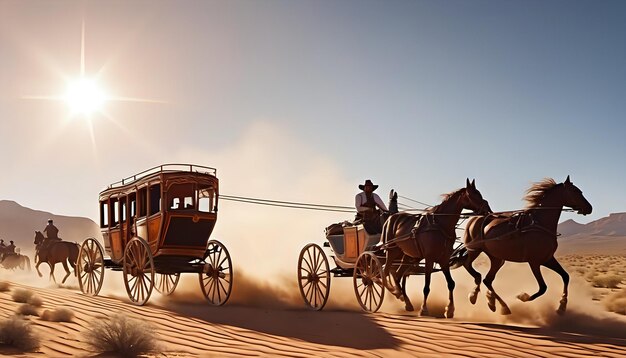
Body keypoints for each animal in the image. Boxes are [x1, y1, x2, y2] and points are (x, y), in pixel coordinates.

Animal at [378, 178, 490, 316]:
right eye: (474, 194)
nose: (488, 209)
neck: (440, 224)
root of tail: (390, 218)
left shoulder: (444, 259)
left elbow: (451, 283)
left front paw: (450, 310)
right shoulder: (429, 259)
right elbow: (426, 286)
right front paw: (424, 309)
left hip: (408, 256)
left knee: (397, 275)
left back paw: (405, 300)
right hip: (392, 251)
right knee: (385, 272)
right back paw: (394, 294)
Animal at [460, 175, 592, 314]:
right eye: (576, 191)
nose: (589, 208)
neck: (539, 223)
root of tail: (474, 219)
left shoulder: (547, 259)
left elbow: (565, 276)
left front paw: (562, 306)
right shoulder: (534, 262)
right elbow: (543, 288)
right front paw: (522, 296)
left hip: (497, 258)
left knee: (487, 280)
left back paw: (497, 305)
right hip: (474, 250)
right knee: (468, 266)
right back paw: (474, 296)